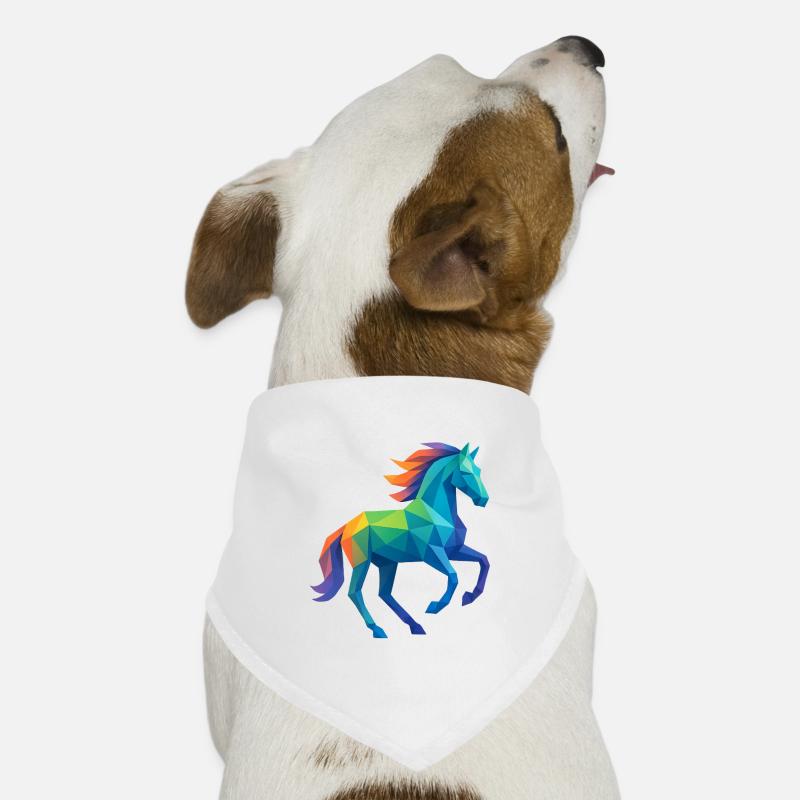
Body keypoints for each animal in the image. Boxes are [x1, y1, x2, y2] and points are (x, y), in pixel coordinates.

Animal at [312, 442, 489, 638]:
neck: (436, 512)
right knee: (355, 593)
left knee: (384, 594)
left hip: (387, 563)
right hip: (362, 563)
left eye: (478, 470)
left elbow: (484, 561)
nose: (483, 499)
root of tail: (347, 526)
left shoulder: (454, 550)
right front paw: (434, 606)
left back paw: (415, 626)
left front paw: (468, 597)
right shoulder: (432, 553)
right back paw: (378, 630)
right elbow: (453, 576)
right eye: (465, 472)